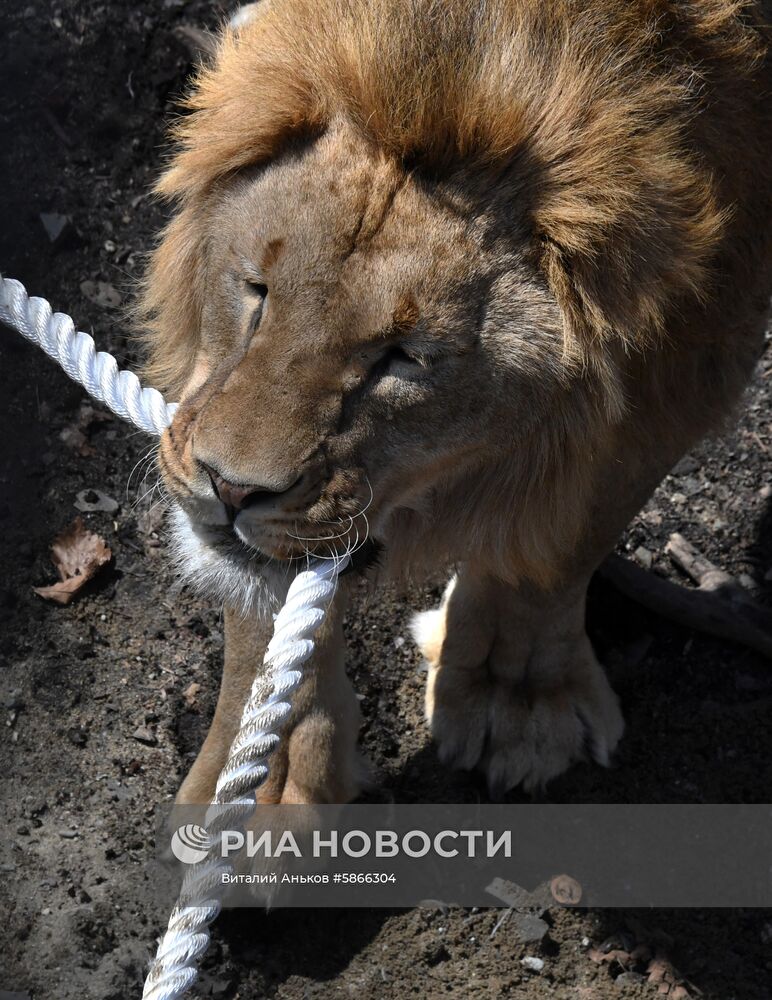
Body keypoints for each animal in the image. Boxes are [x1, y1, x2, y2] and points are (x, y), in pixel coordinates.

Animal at [142, 0, 772, 800]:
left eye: (405, 358)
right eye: (256, 289)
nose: (229, 488)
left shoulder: (688, 363)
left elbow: (568, 542)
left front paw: (517, 696)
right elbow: (263, 611)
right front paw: (261, 788)